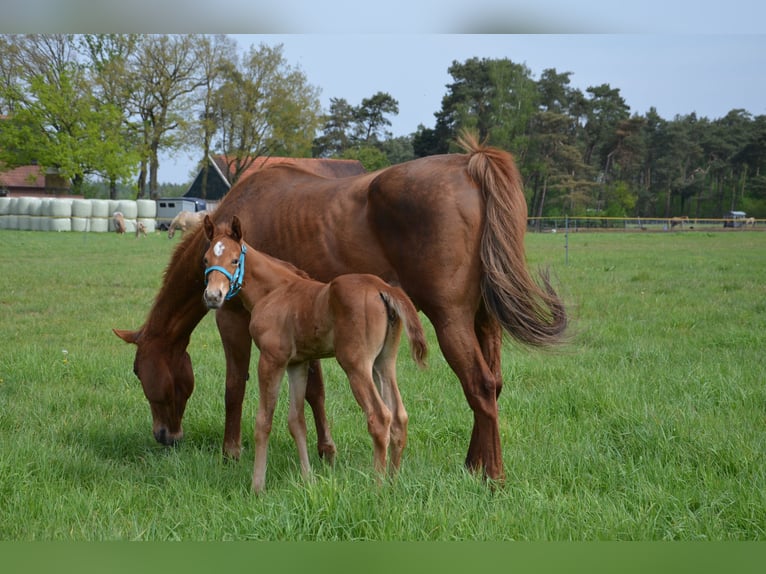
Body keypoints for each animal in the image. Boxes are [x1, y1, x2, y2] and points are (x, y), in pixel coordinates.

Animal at [202, 215, 427, 492]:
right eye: (206, 260)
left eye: (234, 260)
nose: (213, 296)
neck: (274, 291)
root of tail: (381, 287)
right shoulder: (297, 363)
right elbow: (297, 421)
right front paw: (307, 478)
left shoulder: (271, 360)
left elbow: (263, 421)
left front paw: (257, 486)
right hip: (383, 363)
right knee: (399, 417)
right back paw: (393, 483)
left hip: (356, 364)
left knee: (380, 416)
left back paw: (377, 486)